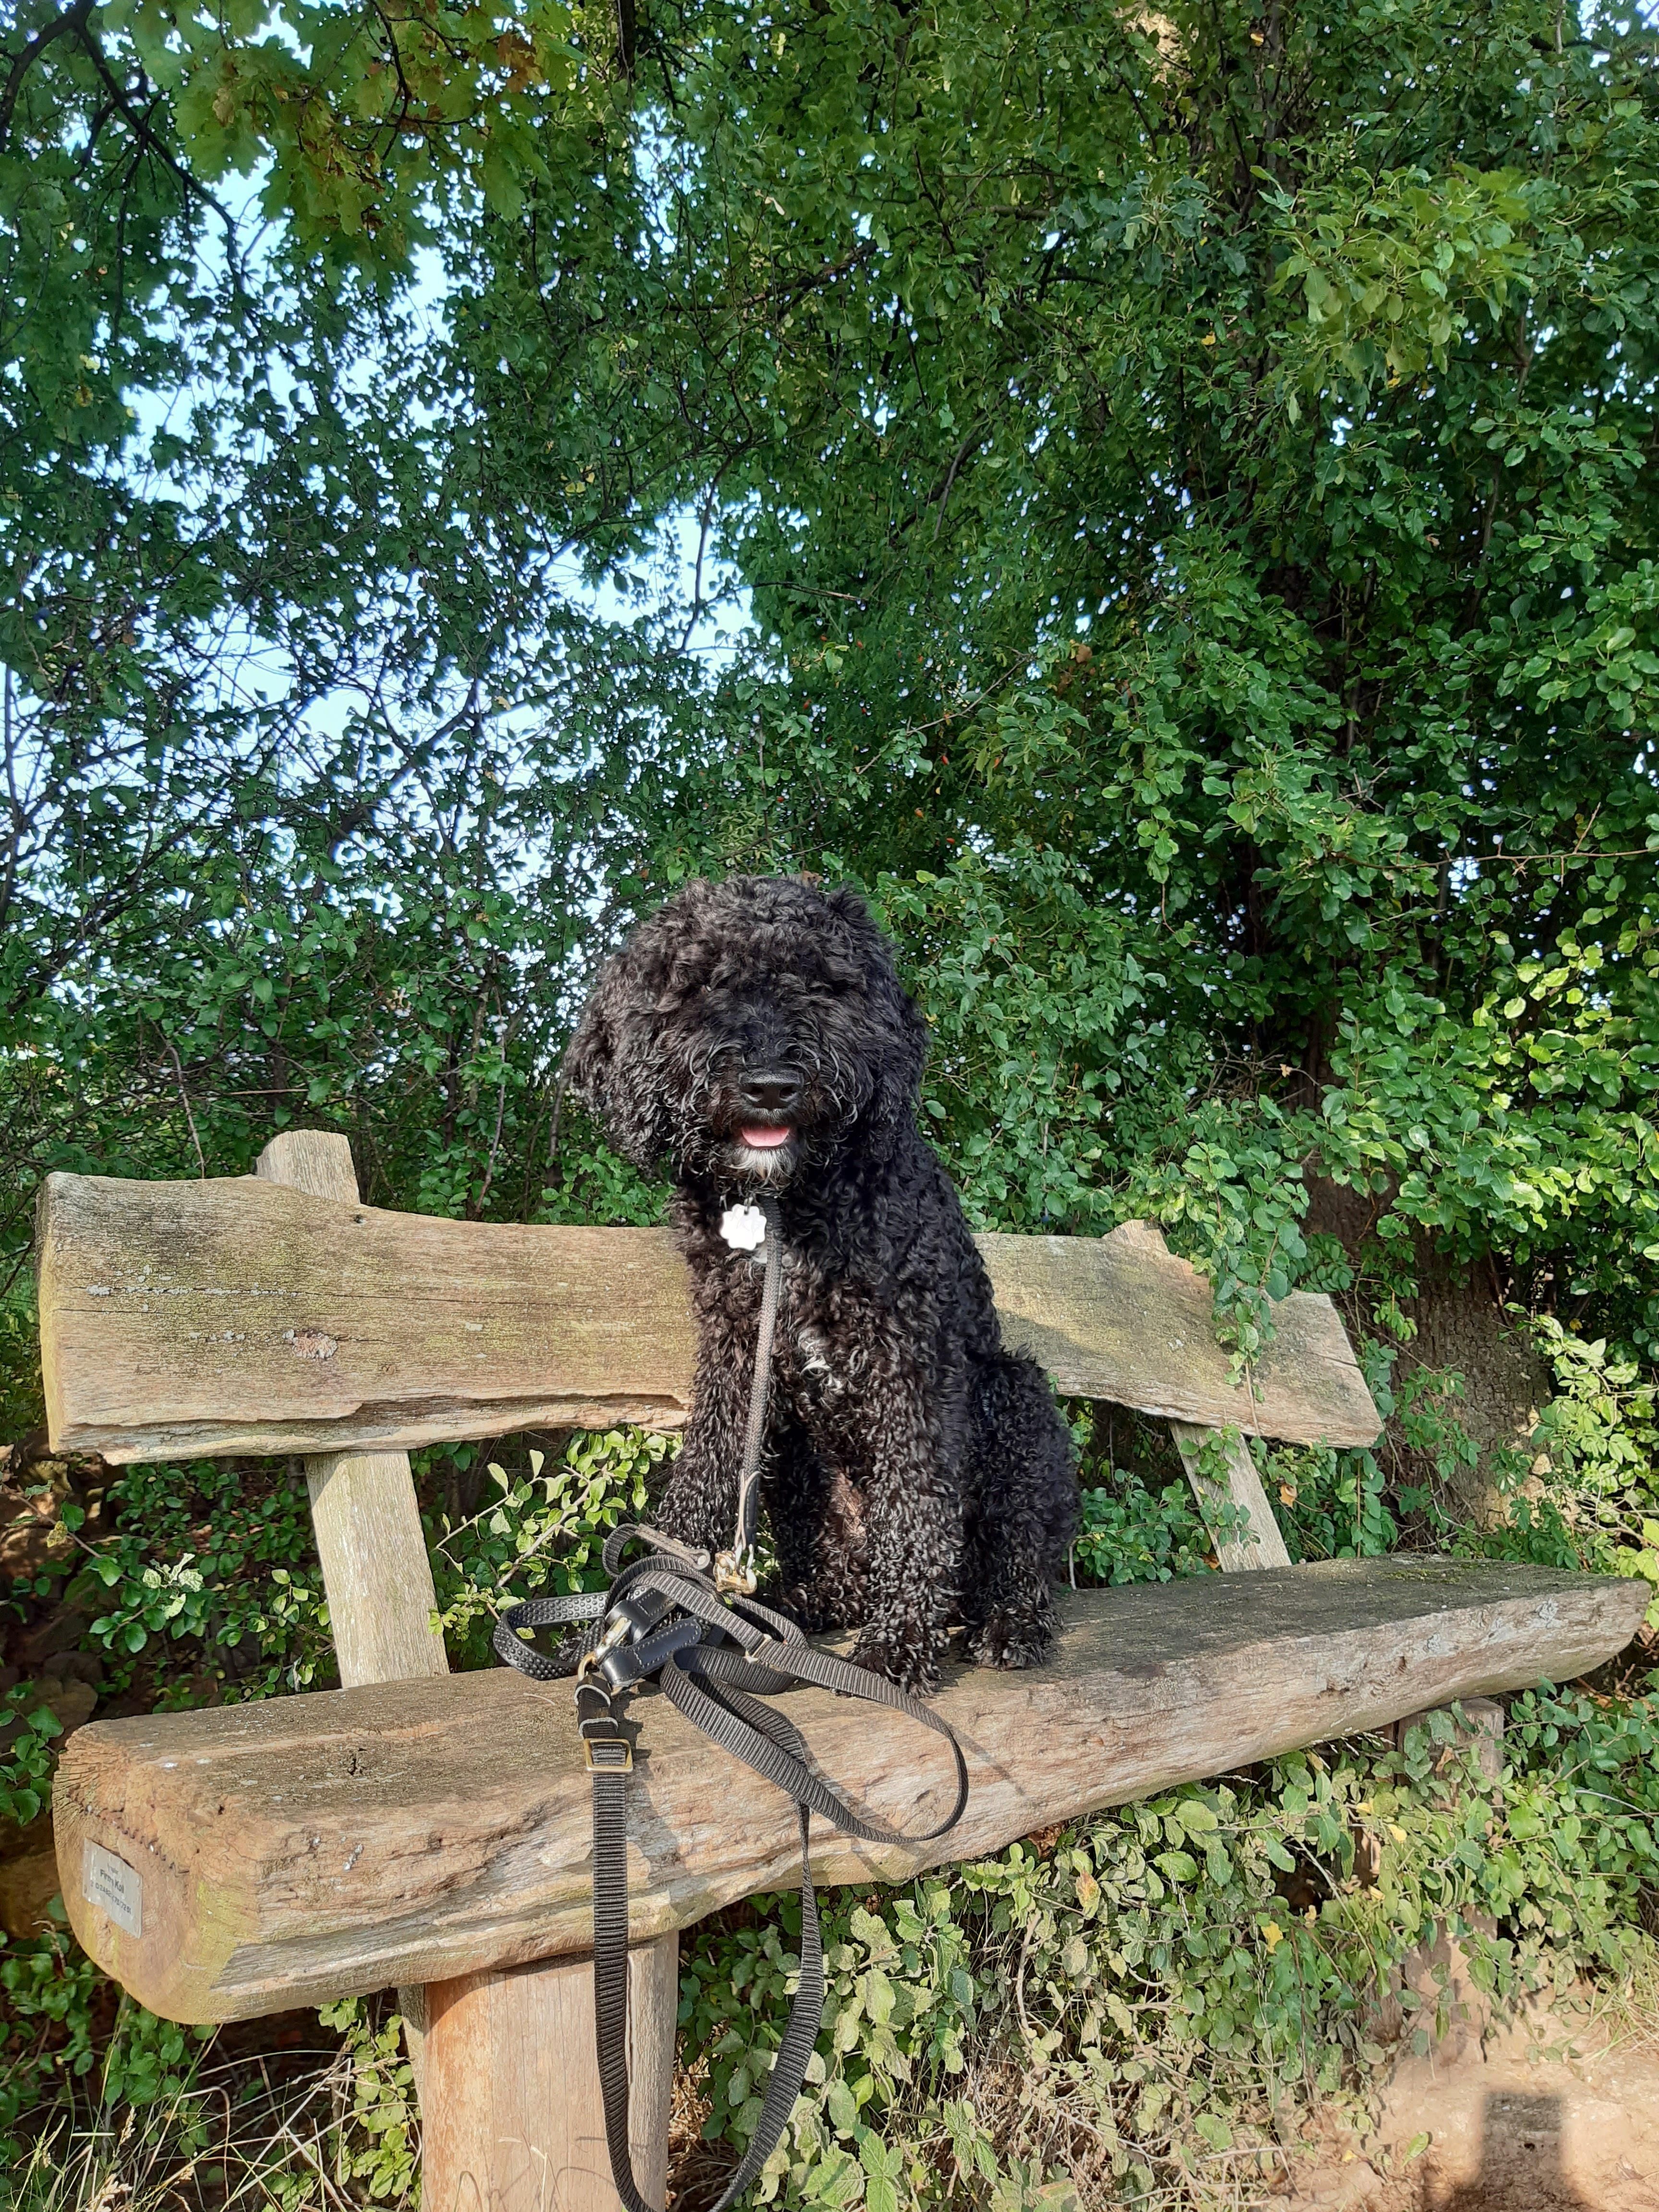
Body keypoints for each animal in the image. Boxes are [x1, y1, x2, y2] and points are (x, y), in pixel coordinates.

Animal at [564, 874, 1077, 1692]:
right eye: (704, 985)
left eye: (821, 984)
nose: (771, 1086)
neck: (786, 1208)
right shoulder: (735, 1354)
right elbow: (703, 1476)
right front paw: (648, 1603)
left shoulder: (911, 1359)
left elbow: (916, 1504)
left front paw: (900, 1644)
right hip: (796, 1454)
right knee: (840, 1567)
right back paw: (793, 1604)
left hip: (1015, 1399)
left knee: (1018, 1554)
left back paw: (1007, 1625)